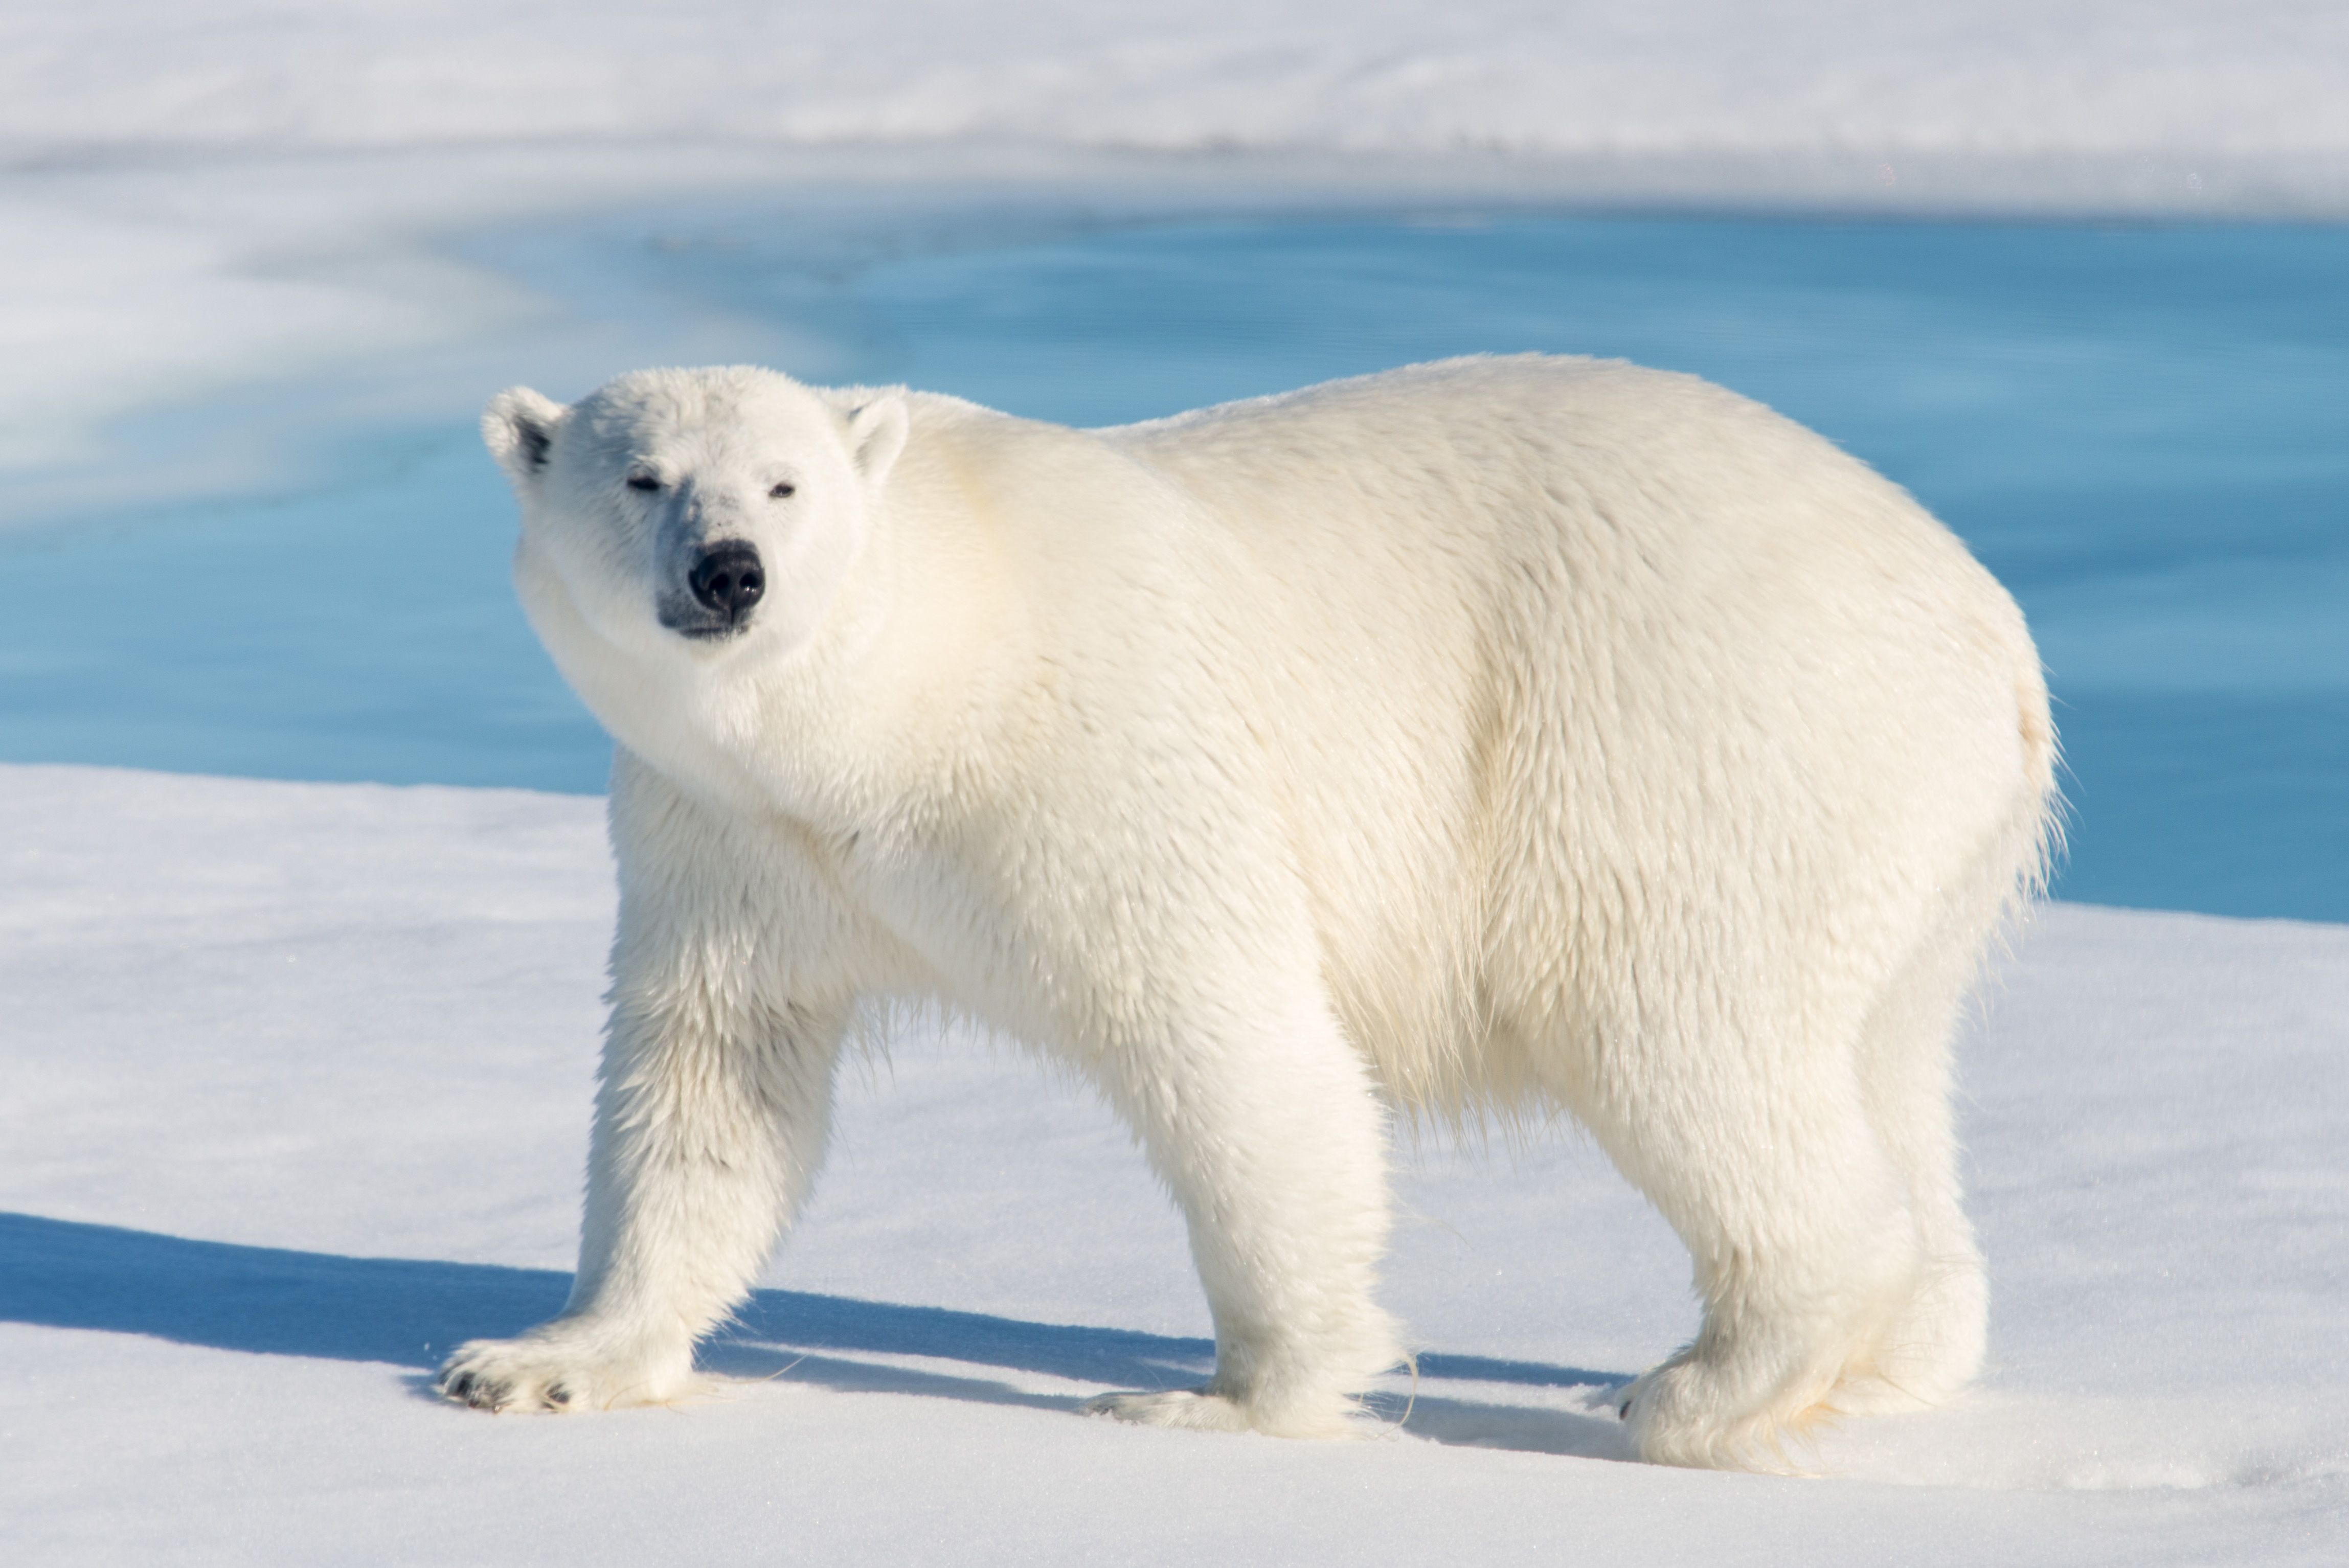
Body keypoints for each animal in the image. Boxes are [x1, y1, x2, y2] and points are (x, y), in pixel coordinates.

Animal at [439, 354, 2056, 1469]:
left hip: (1693, 743)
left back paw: (1698, 1384)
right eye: (642, 477)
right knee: (1883, 1057)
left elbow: (1230, 1040)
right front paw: (538, 1360)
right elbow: (711, 1076)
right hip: (1907, 840)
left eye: (785, 484)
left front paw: (1224, 1400)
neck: (902, 699)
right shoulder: (730, 836)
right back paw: (1894, 1358)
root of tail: (1991, 625)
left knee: (1680, 1034)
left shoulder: (1100, 756)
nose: (731, 574)